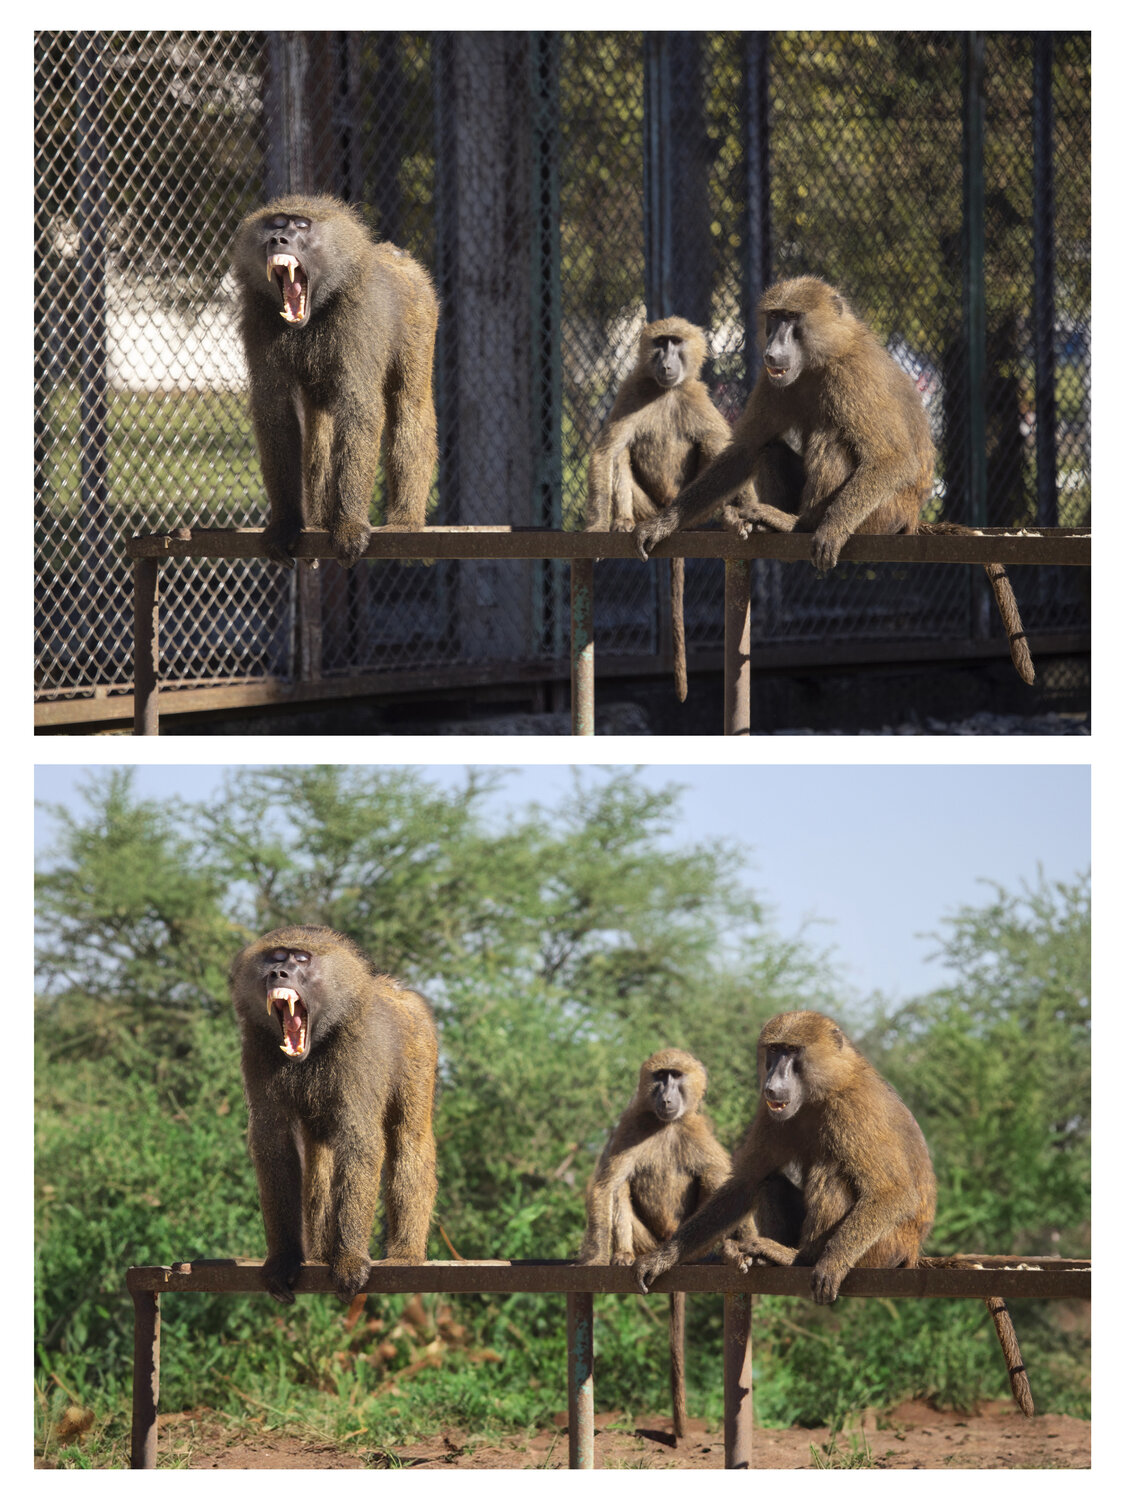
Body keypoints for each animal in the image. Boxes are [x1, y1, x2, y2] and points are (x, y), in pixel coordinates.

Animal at [229, 924, 438, 1304]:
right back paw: (321, 1256)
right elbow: (274, 1147)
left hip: (420, 1042)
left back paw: (405, 1255)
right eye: (276, 957)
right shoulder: (257, 1048)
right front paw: (284, 1261)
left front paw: (350, 1261)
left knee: (409, 1139)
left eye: (301, 959)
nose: (277, 974)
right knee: (321, 1158)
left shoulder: (358, 1051)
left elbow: (360, 1142)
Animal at [232, 195, 438, 568]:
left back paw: (405, 522)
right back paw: (318, 523)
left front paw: (349, 527)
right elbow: (276, 414)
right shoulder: (259, 319)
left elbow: (360, 410)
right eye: (276, 223)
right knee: (321, 426)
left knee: (409, 407)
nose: (278, 240)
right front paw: (286, 525)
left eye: (301, 226)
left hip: (422, 311)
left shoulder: (358, 319)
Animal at [579, 1048, 732, 1440]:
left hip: (686, 1241)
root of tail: (666, 1243)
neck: (666, 1126)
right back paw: (622, 1255)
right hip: (649, 1241)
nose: (666, 1097)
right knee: (621, 1187)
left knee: (710, 1184)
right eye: (660, 1076)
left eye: (676, 1076)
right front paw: (598, 1256)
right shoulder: (630, 1126)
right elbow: (606, 1185)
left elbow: (724, 1183)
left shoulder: (697, 1132)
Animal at [585, 317, 735, 701]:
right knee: (622, 453)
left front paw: (742, 516)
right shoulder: (631, 390)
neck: (666, 392)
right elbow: (606, 452)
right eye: (660, 343)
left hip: (690, 508)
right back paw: (623, 521)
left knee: (711, 450)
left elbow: (725, 451)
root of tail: (668, 508)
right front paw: (597, 525)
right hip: (648, 508)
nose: (666, 364)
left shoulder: (699, 399)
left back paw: (725, 519)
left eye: (676, 343)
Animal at [632, 277, 1035, 685]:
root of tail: (911, 517)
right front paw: (663, 524)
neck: (821, 358)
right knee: (769, 449)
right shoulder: (774, 381)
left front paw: (831, 530)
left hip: (881, 516)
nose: (772, 351)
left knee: (833, 437)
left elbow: (892, 458)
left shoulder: (852, 377)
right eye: (775, 317)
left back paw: (799, 524)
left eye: (792, 319)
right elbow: (744, 451)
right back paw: (777, 522)